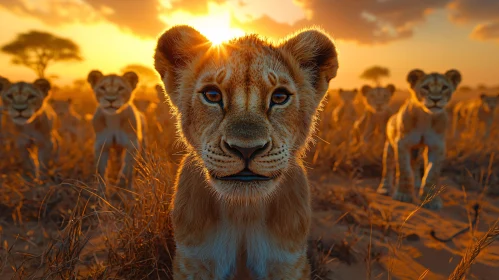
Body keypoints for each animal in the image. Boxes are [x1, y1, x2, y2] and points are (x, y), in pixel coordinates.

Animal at [153, 25, 340, 278]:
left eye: (279, 97)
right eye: (212, 95)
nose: (246, 149)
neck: (243, 211)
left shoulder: (288, 263)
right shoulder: (192, 261)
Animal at [378, 69, 460, 210]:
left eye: (444, 87)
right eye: (425, 87)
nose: (435, 99)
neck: (426, 117)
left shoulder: (437, 146)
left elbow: (432, 174)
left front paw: (431, 200)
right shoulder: (402, 143)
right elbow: (404, 171)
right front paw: (403, 195)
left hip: (419, 151)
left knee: (416, 164)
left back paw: (416, 183)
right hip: (389, 147)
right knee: (387, 167)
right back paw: (385, 188)